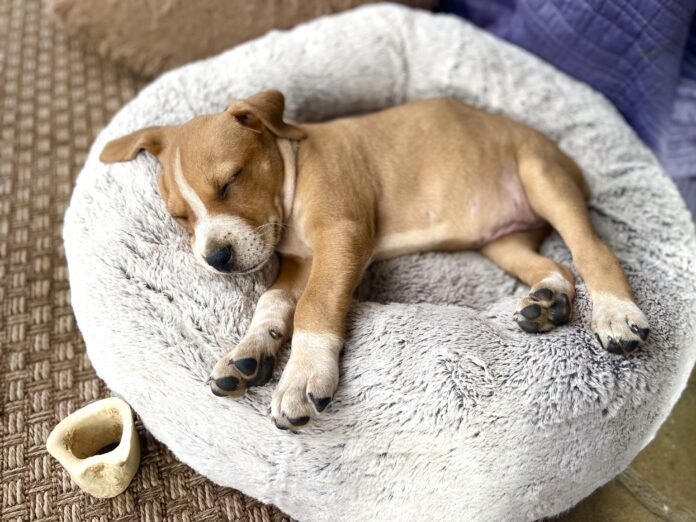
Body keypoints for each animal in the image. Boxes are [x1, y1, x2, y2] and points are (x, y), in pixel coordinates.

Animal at [100, 89, 648, 428]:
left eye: (230, 181)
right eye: (180, 217)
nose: (216, 257)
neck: (294, 173)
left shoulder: (341, 239)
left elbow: (315, 306)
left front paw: (303, 373)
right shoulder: (298, 262)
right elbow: (273, 301)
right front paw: (249, 353)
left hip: (542, 177)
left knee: (591, 250)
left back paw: (616, 313)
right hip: (503, 241)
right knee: (557, 266)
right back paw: (548, 300)